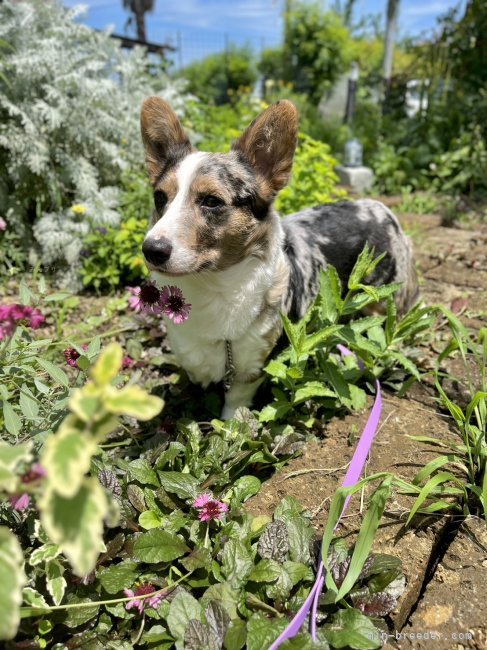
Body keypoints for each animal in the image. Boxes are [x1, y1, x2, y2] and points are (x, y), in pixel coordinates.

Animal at [139, 98, 418, 418]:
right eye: (160, 198)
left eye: (211, 201)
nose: (151, 250)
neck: (214, 286)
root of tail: (382, 210)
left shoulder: (251, 367)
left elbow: (234, 404)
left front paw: (230, 425)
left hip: (382, 303)